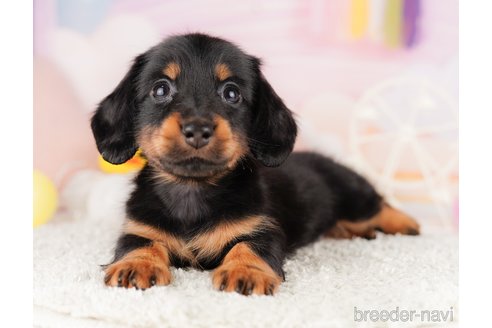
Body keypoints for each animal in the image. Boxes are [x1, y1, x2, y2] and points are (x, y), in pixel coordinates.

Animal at [92, 32, 418, 294]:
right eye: (160, 89)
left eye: (231, 93)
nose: (197, 129)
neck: (192, 189)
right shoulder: (139, 228)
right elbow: (140, 244)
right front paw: (137, 266)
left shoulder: (263, 229)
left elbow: (247, 246)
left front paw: (244, 271)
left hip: (354, 197)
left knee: (379, 205)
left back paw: (406, 223)